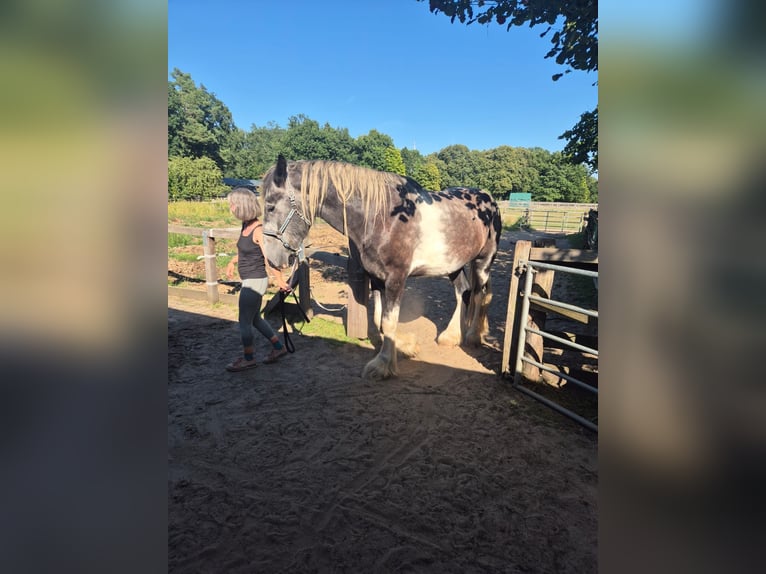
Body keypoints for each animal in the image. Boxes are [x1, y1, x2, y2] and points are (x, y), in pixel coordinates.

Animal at [260, 155, 501, 380]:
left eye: (270, 206)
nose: (271, 258)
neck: (384, 217)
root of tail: (488, 199)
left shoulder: (396, 278)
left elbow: (388, 321)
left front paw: (383, 366)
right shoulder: (376, 278)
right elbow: (380, 320)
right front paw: (406, 347)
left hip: (483, 261)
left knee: (480, 295)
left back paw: (473, 336)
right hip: (453, 265)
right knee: (463, 292)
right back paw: (451, 336)